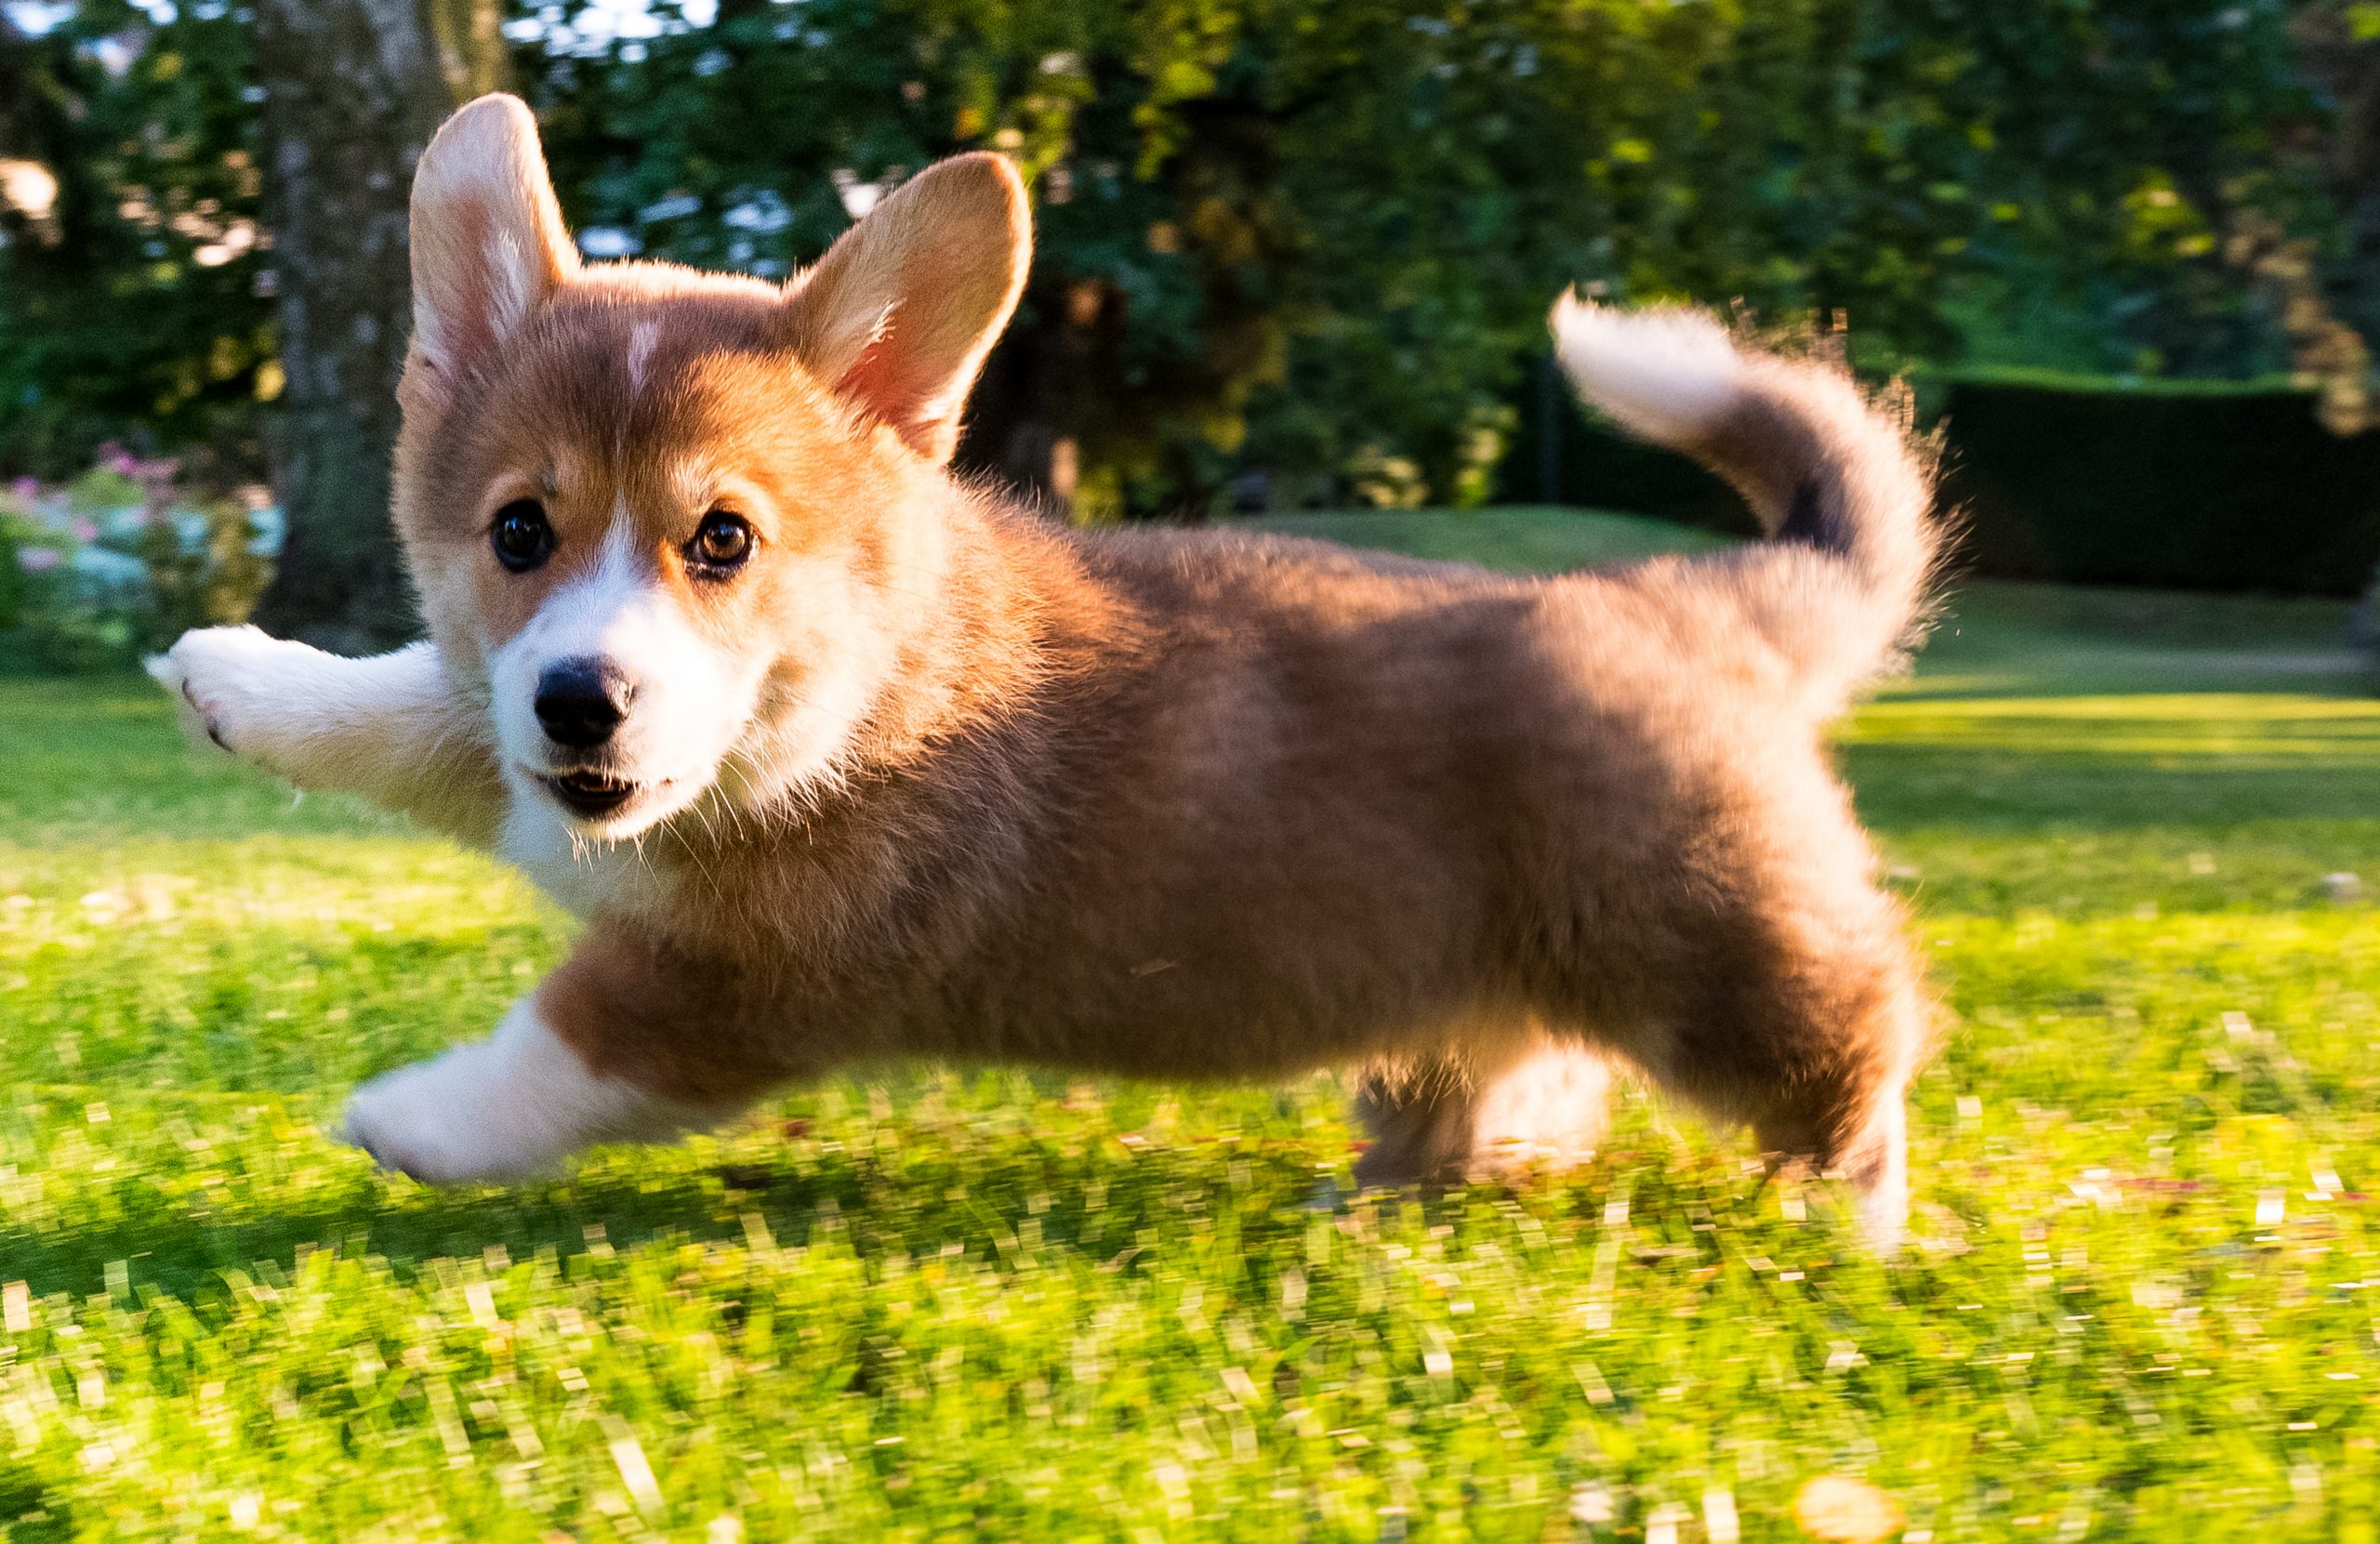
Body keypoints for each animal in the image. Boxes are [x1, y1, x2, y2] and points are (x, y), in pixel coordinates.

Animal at [143, 93, 1932, 1236]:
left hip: (1719, 956)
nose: (583, 702)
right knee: (1519, 1076)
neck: (848, 687)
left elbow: (558, 1048)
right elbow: (418, 705)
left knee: (1857, 1052)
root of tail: (1701, 600)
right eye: (521, 531)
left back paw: (1854, 1236)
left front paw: (410, 1119)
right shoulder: (509, 733)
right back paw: (1397, 1194)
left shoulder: (736, 988)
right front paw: (235, 675)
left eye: (721, 540)